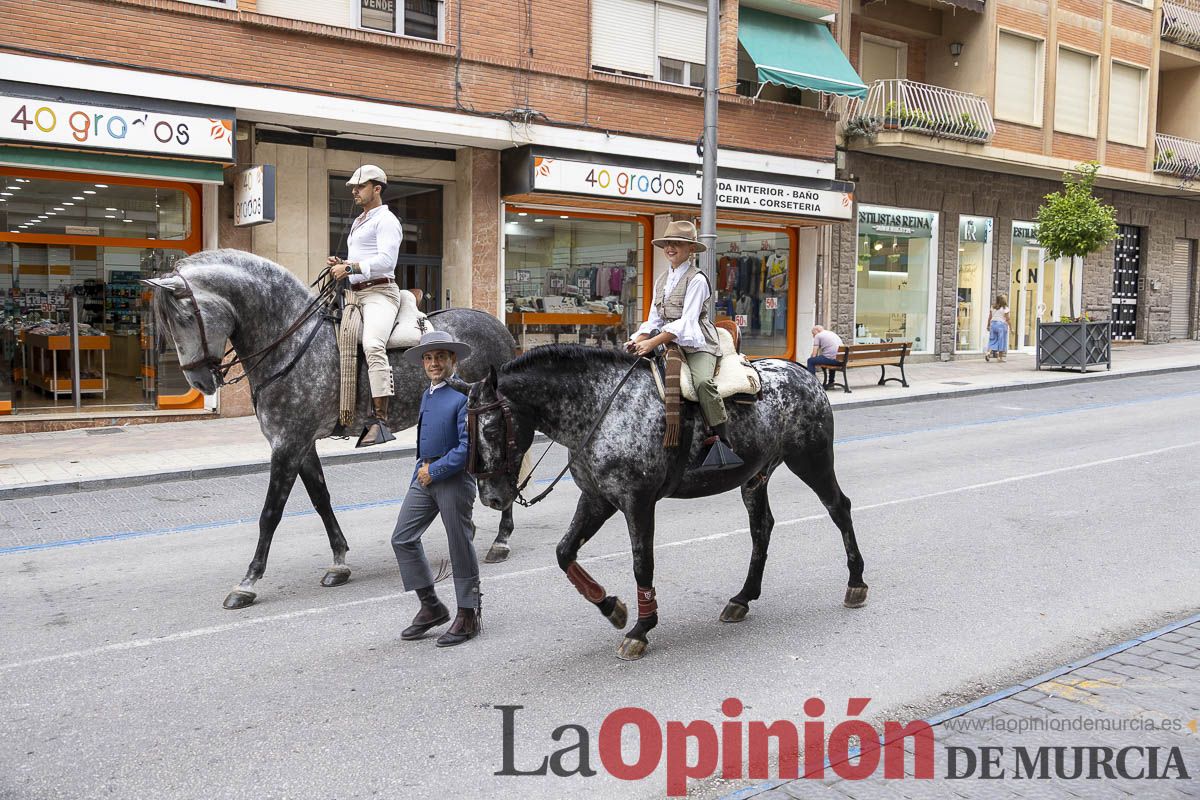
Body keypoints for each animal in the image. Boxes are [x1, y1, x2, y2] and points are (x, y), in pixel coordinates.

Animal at [143, 249, 520, 610]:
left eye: (184, 318)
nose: (199, 382)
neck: (291, 344)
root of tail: (497, 324)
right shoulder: (301, 444)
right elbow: (320, 499)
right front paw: (339, 561)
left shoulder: (288, 445)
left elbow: (270, 513)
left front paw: (247, 582)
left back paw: (501, 539)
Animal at [457, 345, 867, 660]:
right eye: (465, 430)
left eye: (491, 429)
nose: (492, 497)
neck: (602, 408)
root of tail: (804, 373)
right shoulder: (597, 499)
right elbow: (564, 552)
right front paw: (612, 607)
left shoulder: (637, 502)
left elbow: (643, 564)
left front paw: (641, 627)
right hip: (755, 477)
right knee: (761, 528)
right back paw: (742, 598)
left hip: (811, 460)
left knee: (839, 508)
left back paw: (856, 582)